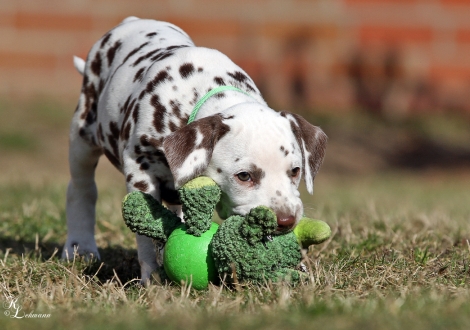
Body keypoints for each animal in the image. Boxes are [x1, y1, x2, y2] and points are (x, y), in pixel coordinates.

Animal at [61, 16, 326, 282]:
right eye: (244, 176)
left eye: (295, 171)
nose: (286, 221)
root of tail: (131, 21)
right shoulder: (139, 169)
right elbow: (145, 233)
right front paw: (152, 276)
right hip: (83, 135)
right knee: (81, 189)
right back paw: (80, 247)